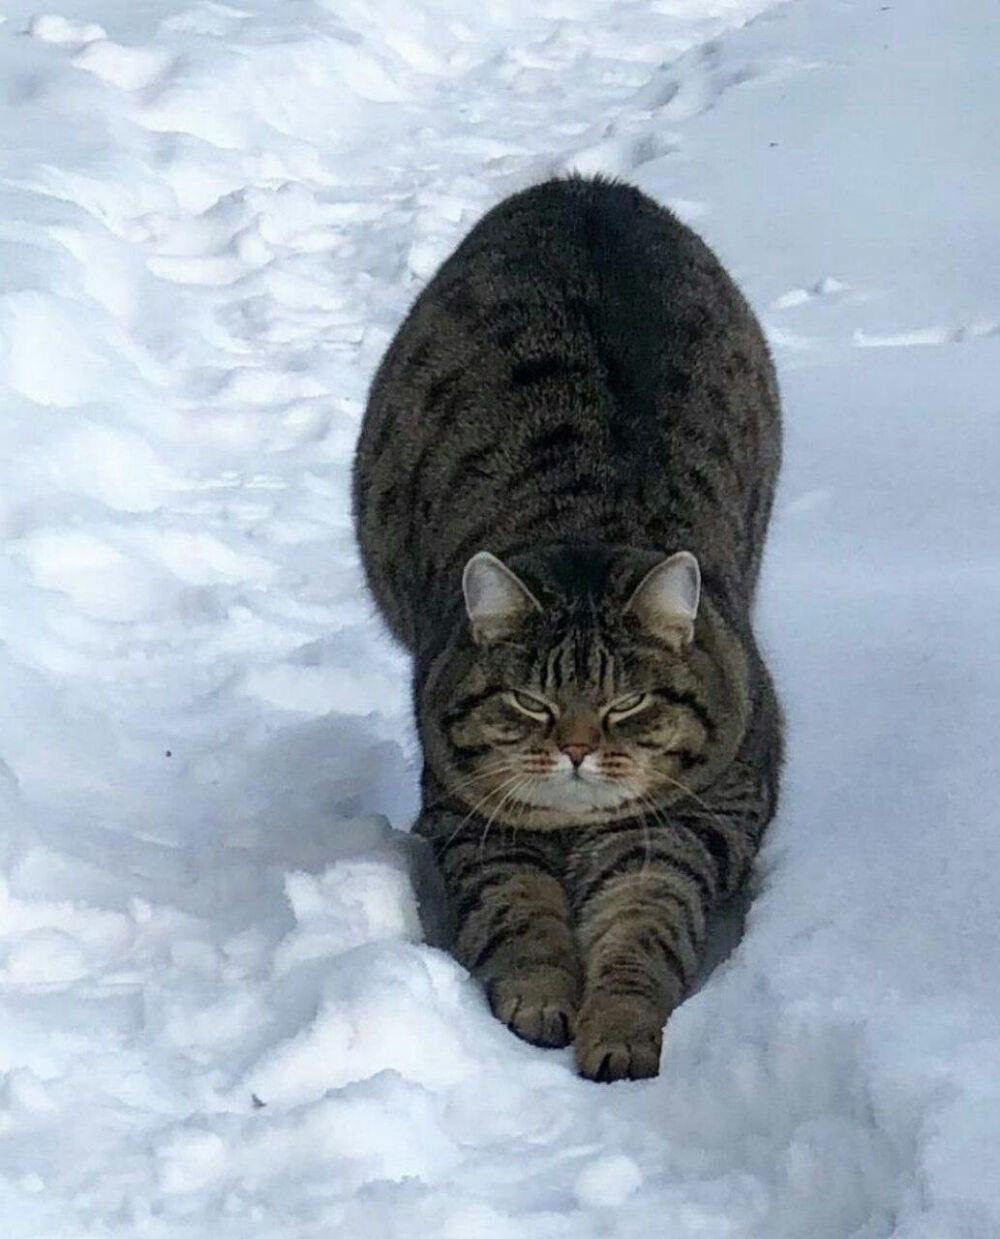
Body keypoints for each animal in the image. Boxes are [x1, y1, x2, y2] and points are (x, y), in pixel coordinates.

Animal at [351, 169, 783, 1080]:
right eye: (530, 702)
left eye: (626, 703)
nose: (578, 748)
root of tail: (585, 185)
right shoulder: (475, 818)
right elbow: (515, 910)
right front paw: (539, 993)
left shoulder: (694, 822)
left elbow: (647, 924)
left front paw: (620, 1024)